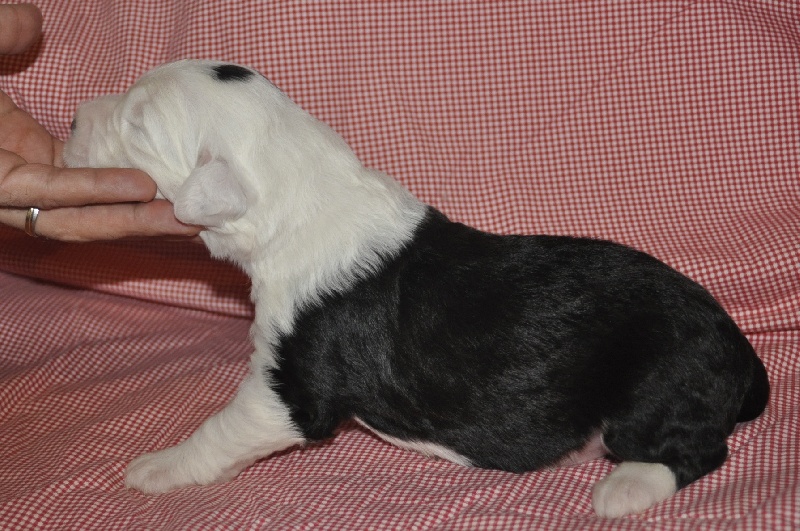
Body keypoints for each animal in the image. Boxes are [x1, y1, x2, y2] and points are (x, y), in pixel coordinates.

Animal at [63, 60, 769, 518]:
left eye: (139, 124)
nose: (71, 118)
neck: (299, 191)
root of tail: (739, 350)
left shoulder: (287, 390)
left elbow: (221, 428)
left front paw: (158, 467)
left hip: (660, 385)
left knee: (698, 450)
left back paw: (623, 488)